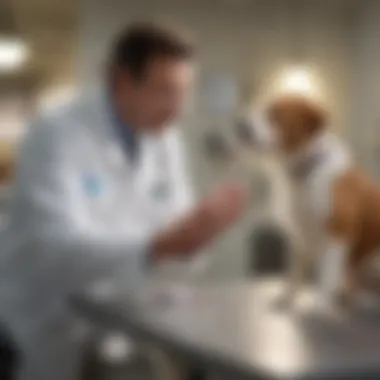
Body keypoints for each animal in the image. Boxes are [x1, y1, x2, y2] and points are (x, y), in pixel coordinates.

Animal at [239, 94, 380, 312]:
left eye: (275, 114)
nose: (240, 125)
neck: (308, 171)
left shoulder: (338, 233)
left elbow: (327, 276)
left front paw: (320, 305)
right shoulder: (300, 236)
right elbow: (293, 273)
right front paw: (287, 299)